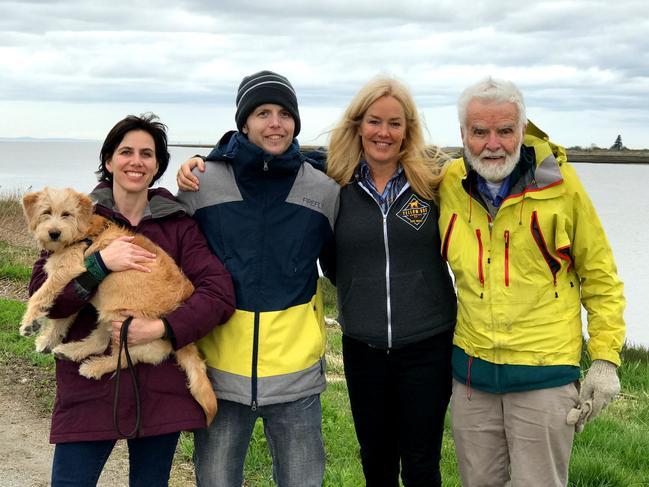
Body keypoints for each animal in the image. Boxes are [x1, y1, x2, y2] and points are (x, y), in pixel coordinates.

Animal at [20, 189, 216, 426]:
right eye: (46, 212)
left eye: (67, 214)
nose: (54, 233)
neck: (82, 234)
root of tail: (182, 342)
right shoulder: (78, 288)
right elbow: (62, 316)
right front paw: (47, 340)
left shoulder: (69, 269)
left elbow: (42, 293)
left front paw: (30, 321)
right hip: (109, 313)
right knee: (99, 341)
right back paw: (70, 351)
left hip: (122, 320)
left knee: (120, 359)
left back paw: (93, 366)